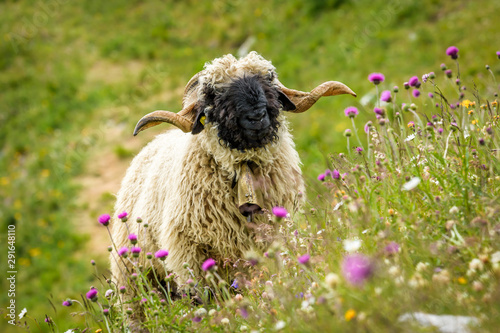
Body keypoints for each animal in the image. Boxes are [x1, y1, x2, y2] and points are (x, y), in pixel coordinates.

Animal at [110, 53, 356, 320]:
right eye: (213, 94)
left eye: (268, 80)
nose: (256, 116)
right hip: (135, 281)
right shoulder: (187, 255)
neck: (244, 168)